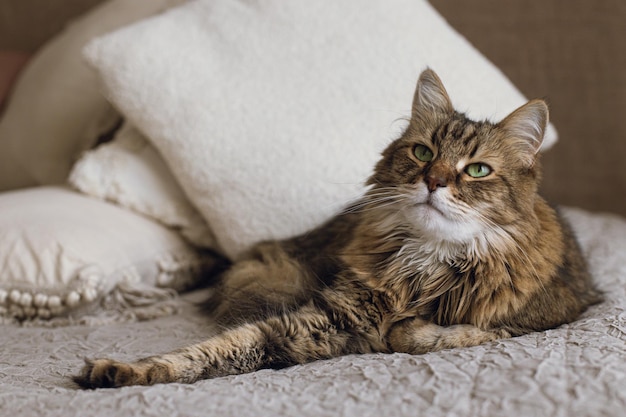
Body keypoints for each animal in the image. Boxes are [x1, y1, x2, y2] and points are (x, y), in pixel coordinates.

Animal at [75, 67, 596, 386]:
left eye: (478, 170)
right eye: (423, 152)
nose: (433, 181)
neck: (425, 263)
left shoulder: (543, 320)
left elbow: (434, 335)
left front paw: (414, 329)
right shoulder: (323, 320)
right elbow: (216, 349)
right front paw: (126, 371)